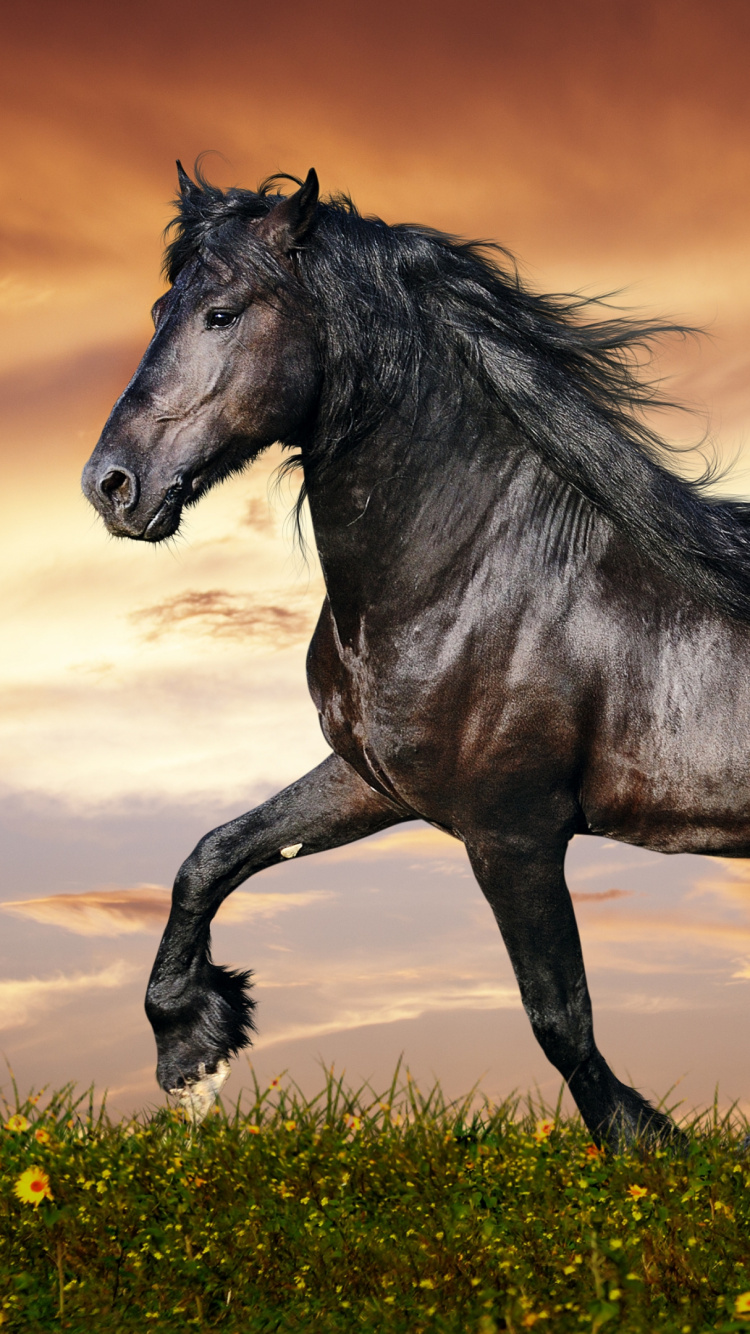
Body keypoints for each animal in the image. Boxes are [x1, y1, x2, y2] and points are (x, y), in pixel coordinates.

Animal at [82, 163, 750, 1145]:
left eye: (221, 313)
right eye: (165, 304)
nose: (111, 486)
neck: (477, 574)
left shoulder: (512, 832)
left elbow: (558, 1015)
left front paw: (646, 1141)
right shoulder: (373, 781)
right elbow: (211, 855)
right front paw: (190, 1049)